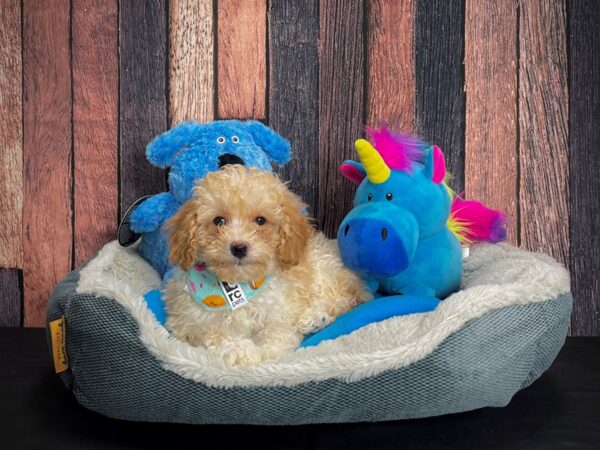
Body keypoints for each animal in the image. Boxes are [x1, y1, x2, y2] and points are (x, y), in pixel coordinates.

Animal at [164, 164, 370, 366]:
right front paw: (239, 350)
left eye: (260, 220)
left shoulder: (279, 316)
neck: (238, 284)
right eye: (218, 220)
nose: (239, 248)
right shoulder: (188, 324)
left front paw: (253, 352)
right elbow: (214, 335)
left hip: (324, 273)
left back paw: (315, 316)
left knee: (344, 299)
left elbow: (276, 340)